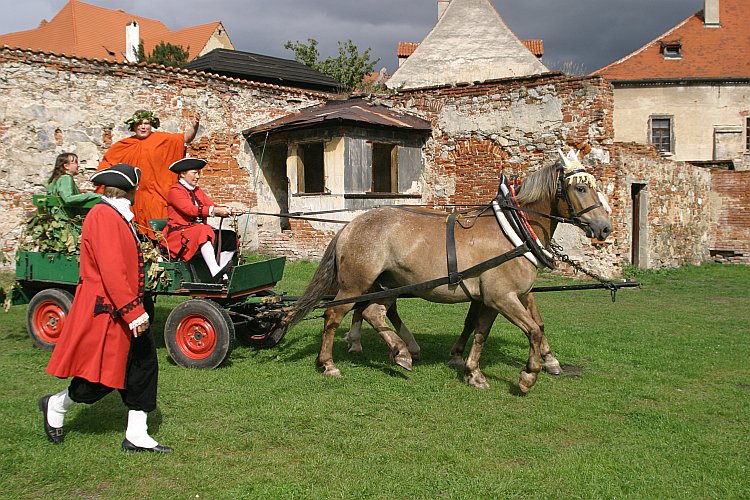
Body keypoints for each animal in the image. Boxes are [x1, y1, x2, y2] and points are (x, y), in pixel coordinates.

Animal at [286, 150, 612, 392]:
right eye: (580, 188)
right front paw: (528, 375)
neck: (515, 231)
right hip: (355, 284)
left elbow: (481, 333)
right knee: (334, 315)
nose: (605, 227)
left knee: (372, 312)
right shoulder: (503, 297)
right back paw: (329, 363)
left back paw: (401, 351)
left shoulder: (491, 299)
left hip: (386, 284)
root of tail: (350, 225)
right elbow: (533, 329)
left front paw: (473, 372)